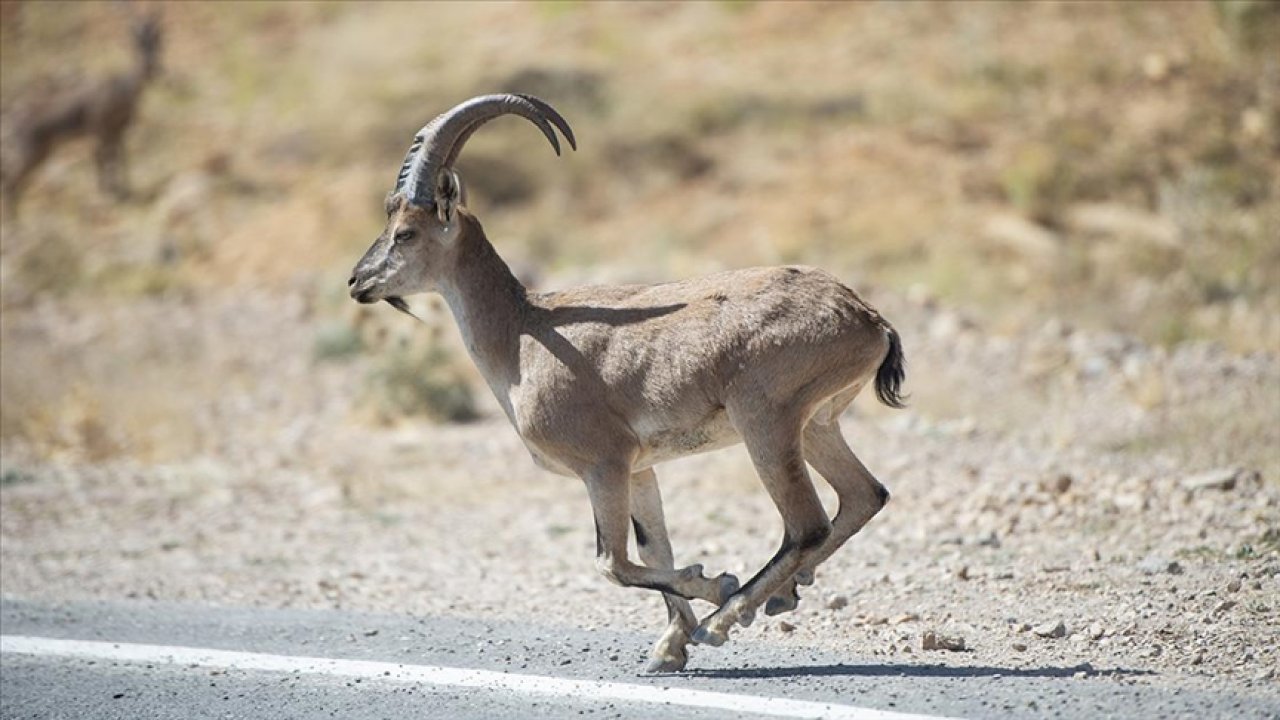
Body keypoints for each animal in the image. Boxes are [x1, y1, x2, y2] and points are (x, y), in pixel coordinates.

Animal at [1, 13, 161, 215]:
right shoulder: (100, 129)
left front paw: (124, 190)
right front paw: (110, 192)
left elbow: (120, 157)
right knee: (10, 182)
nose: (152, 67)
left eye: (157, 42)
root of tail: (14, 116)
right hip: (32, 153)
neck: (122, 88)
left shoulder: (118, 130)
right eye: (137, 43)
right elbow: (103, 159)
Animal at [350, 92, 906, 671]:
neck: (524, 335)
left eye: (406, 232)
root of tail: (867, 319)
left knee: (807, 523)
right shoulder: (640, 469)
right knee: (863, 496)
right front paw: (669, 647)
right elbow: (651, 548)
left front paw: (713, 588)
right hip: (817, 424)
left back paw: (727, 617)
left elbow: (611, 564)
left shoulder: (605, 464)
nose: (357, 282)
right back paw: (774, 597)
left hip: (767, 423)